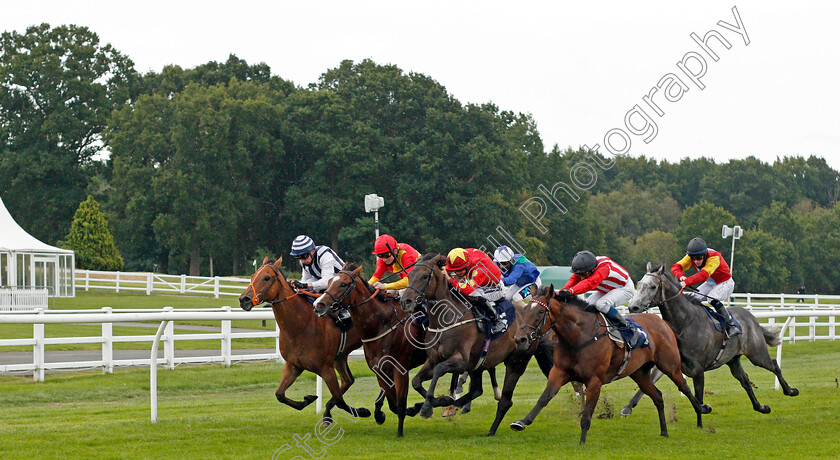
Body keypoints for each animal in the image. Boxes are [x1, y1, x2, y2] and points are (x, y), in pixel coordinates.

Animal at [236, 255, 368, 424]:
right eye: (252, 276)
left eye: (266, 278)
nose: (244, 299)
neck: (301, 326)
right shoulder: (293, 365)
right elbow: (279, 394)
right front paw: (308, 399)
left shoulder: (326, 368)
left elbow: (339, 400)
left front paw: (363, 411)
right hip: (341, 355)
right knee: (348, 379)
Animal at [312, 264, 426, 436]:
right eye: (330, 281)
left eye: (343, 284)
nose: (319, 305)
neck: (383, 324)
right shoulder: (379, 369)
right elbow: (392, 402)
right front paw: (383, 414)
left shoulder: (400, 369)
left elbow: (399, 403)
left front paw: (400, 429)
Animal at [400, 253, 556, 436]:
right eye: (410, 275)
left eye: (425, 276)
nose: (405, 301)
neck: (445, 320)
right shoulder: (433, 359)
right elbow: (416, 381)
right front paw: (434, 401)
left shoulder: (460, 361)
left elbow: (439, 371)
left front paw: (426, 407)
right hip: (478, 364)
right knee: (477, 390)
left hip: (516, 362)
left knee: (505, 401)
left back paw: (492, 431)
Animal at [508, 286, 712, 444]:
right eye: (525, 311)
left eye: (540, 312)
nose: (520, 339)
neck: (578, 336)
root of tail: (663, 322)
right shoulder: (559, 372)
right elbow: (544, 398)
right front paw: (522, 422)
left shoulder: (595, 380)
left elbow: (587, 414)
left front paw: (582, 442)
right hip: (639, 373)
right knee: (658, 397)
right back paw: (664, 432)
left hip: (669, 365)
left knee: (684, 386)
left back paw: (702, 411)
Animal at [624, 262, 800, 428]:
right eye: (639, 284)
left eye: (653, 286)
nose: (632, 307)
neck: (684, 324)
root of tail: (751, 317)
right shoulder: (669, 363)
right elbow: (649, 384)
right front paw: (628, 407)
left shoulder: (698, 370)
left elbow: (699, 396)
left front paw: (700, 424)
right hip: (733, 360)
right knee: (745, 380)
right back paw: (761, 407)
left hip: (756, 354)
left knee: (774, 365)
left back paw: (790, 390)